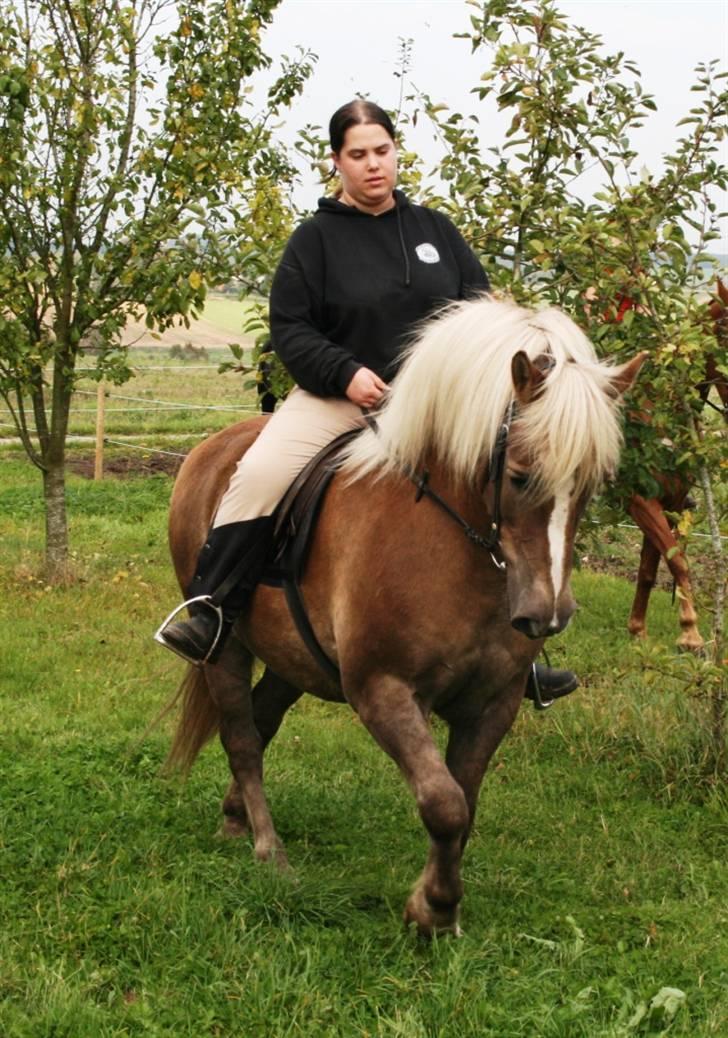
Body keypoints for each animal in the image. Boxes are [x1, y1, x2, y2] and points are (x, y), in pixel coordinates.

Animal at [163, 296, 639, 938]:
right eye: (520, 476)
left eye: (593, 484)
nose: (547, 616)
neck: (454, 547)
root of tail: (209, 451)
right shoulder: (382, 691)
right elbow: (443, 802)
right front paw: (432, 910)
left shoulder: (494, 701)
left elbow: (464, 802)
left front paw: (439, 906)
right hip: (227, 649)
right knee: (241, 736)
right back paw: (269, 850)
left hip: (291, 659)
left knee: (261, 724)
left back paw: (236, 818)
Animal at [623, 280, 722, 651]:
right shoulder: (640, 502)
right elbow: (677, 560)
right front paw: (691, 634)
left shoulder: (671, 503)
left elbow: (651, 569)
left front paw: (638, 631)